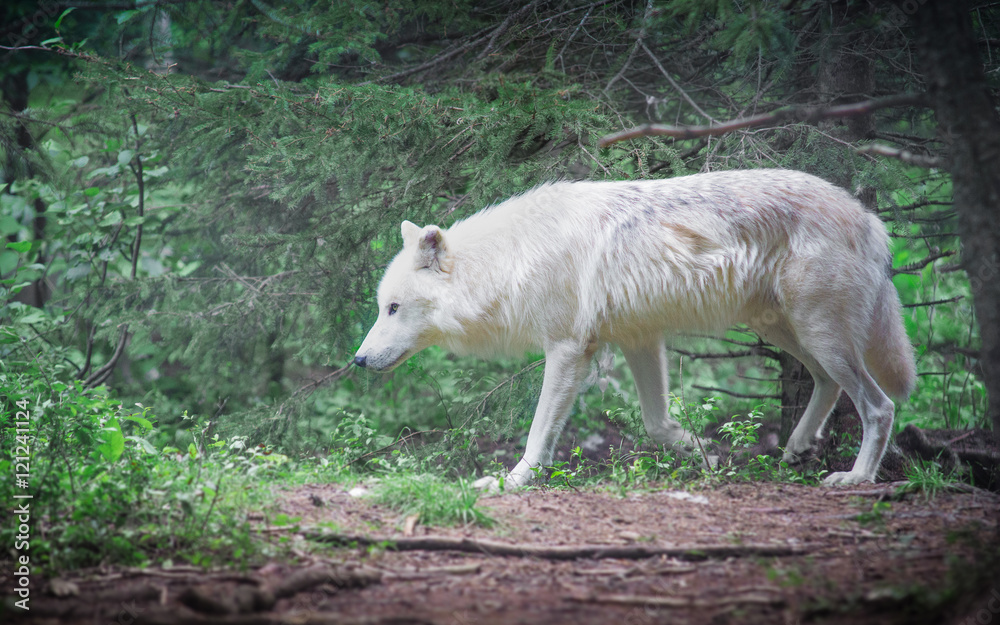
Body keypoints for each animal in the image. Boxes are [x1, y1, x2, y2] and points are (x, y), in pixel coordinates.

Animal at [354, 169, 916, 489]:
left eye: (393, 308)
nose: (356, 360)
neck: (510, 261)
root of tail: (870, 218)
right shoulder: (640, 340)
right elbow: (658, 424)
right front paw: (705, 454)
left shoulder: (567, 350)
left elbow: (538, 434)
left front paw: (513, 481)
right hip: (786, 331)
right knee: (827, 384)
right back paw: (798, 445)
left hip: (817, 334)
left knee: (879, 405)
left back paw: (857, 477)